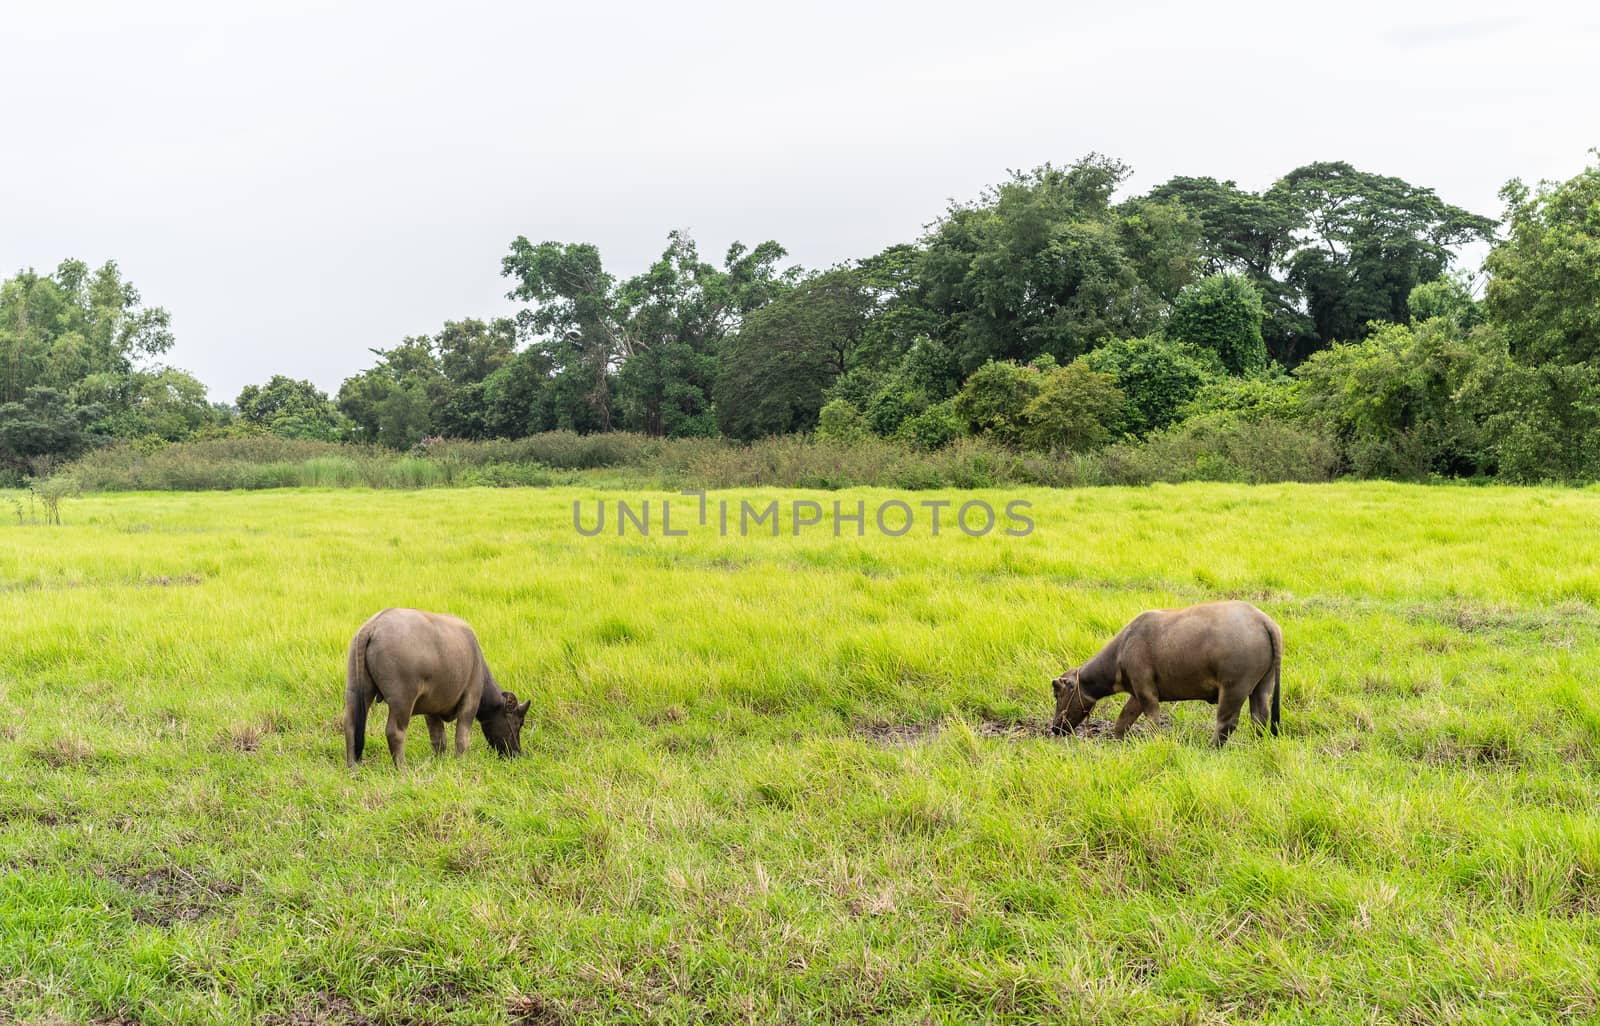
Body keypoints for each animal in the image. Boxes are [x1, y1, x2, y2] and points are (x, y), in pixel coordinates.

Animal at [345, 605, 531, 765]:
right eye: (518, 723)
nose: (516, 753)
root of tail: (373, 626)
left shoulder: (431, 709)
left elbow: (438, 738)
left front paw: (439, 760)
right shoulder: (471, 699)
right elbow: (462, 738)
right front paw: (460, 762)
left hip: (355, 690)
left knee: (351, 726)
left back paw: (353, 768)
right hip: (402, 699)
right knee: (395, 732)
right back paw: (402, 769)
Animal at [1049, 595, 1286, 749]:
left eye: (1057, 693)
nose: (1055, 728)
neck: (1122, 649)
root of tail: (1263, 620)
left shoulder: (1146, 692)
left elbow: (1153, 721)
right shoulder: (1137, 694)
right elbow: (1124, 718)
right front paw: (1116, 741)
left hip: (1234, 688)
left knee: (1226, 722)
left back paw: (1211, 748)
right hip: (1262, 685)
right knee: (1259, 718)